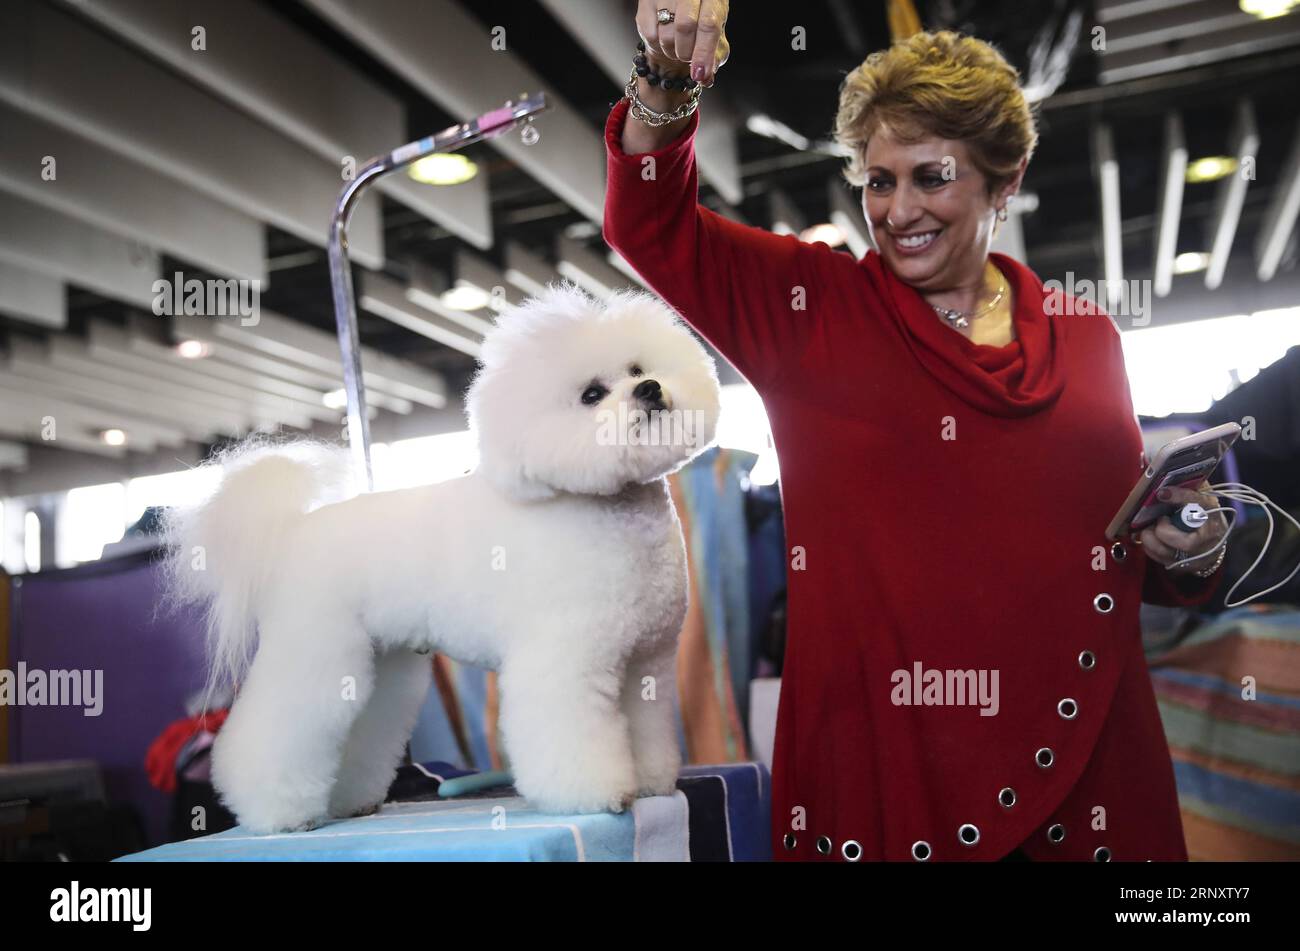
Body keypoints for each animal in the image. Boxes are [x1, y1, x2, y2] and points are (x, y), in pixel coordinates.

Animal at [165, 280, 722, 831]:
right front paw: (595, 794)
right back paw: (276, 814)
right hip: (315, 648)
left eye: (637, 369)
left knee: (364, 727)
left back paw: (346, 801)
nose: (650, 389)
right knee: (274, 732)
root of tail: (293, 533)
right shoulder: (566, 656)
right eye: (591, 394)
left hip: (381, 666)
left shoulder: (646, 662)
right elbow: (568, 731)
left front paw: (650, 782)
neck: (612, 511)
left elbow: (646, 728)